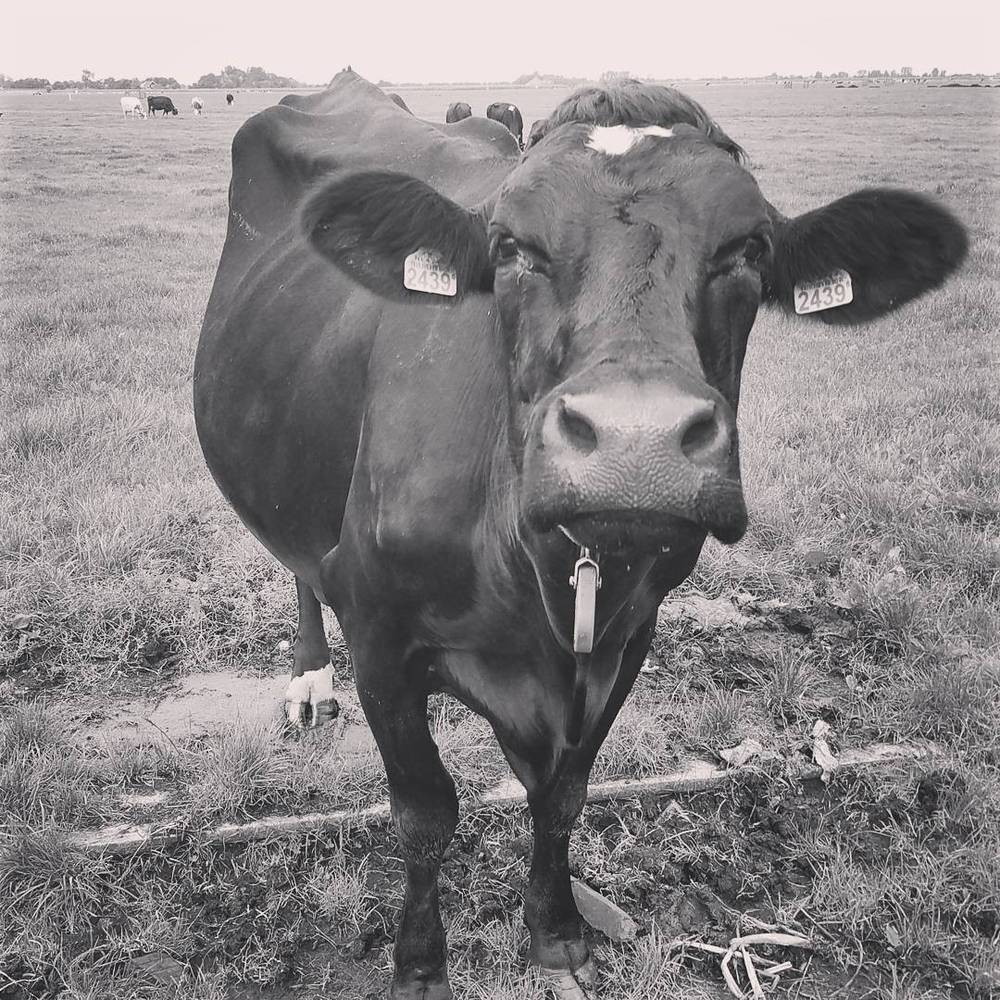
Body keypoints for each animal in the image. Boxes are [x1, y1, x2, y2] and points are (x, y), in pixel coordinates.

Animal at [194, 71, 967, 999]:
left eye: (749, 248)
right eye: (509, 246)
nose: (637, 444)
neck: (532, 578)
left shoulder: (628, 636)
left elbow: (564, 793)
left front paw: (557, 931)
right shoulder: (379, 633)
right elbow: (424, 812)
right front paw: (419, 964)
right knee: (300, 564)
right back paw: (310, 678)